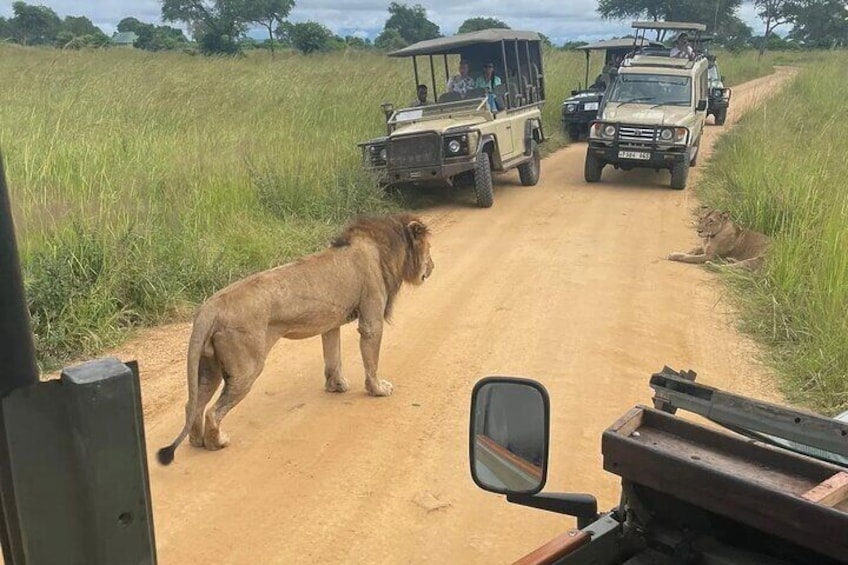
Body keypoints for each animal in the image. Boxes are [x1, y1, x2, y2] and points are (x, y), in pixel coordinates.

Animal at [159, 214, 434, 464]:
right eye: (429, 249)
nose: (432, 267)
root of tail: (209, 307)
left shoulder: (331, 323)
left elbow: (333, 357)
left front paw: (337, 386)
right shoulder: (371, 320)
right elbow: (371, 360)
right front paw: (378, 389)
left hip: (210, 367)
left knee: (192, 405)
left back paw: (197, 440)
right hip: (245, 369)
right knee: (213, 412)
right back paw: (218, 442)